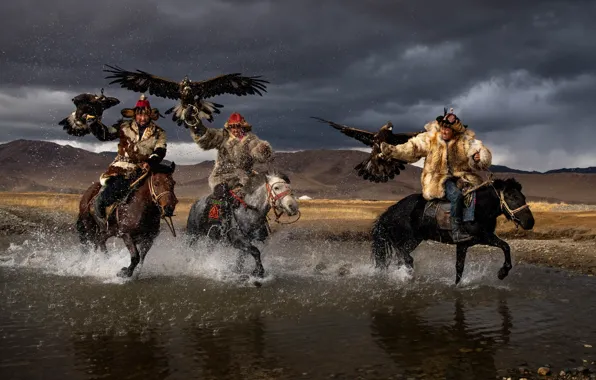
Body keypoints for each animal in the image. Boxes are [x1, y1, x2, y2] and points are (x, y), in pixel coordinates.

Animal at [372, 177, 536, 282]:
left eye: (523, 196)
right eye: (512, 196)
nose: (530, 222)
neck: (479, 209)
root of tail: (390, 212)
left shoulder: (470, 242)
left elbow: (460, 268)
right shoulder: (478, 238)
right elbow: (504, 246)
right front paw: (502, 272)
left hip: (412, 240)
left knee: (401, 257)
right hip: (406, 239)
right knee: (403, 255)